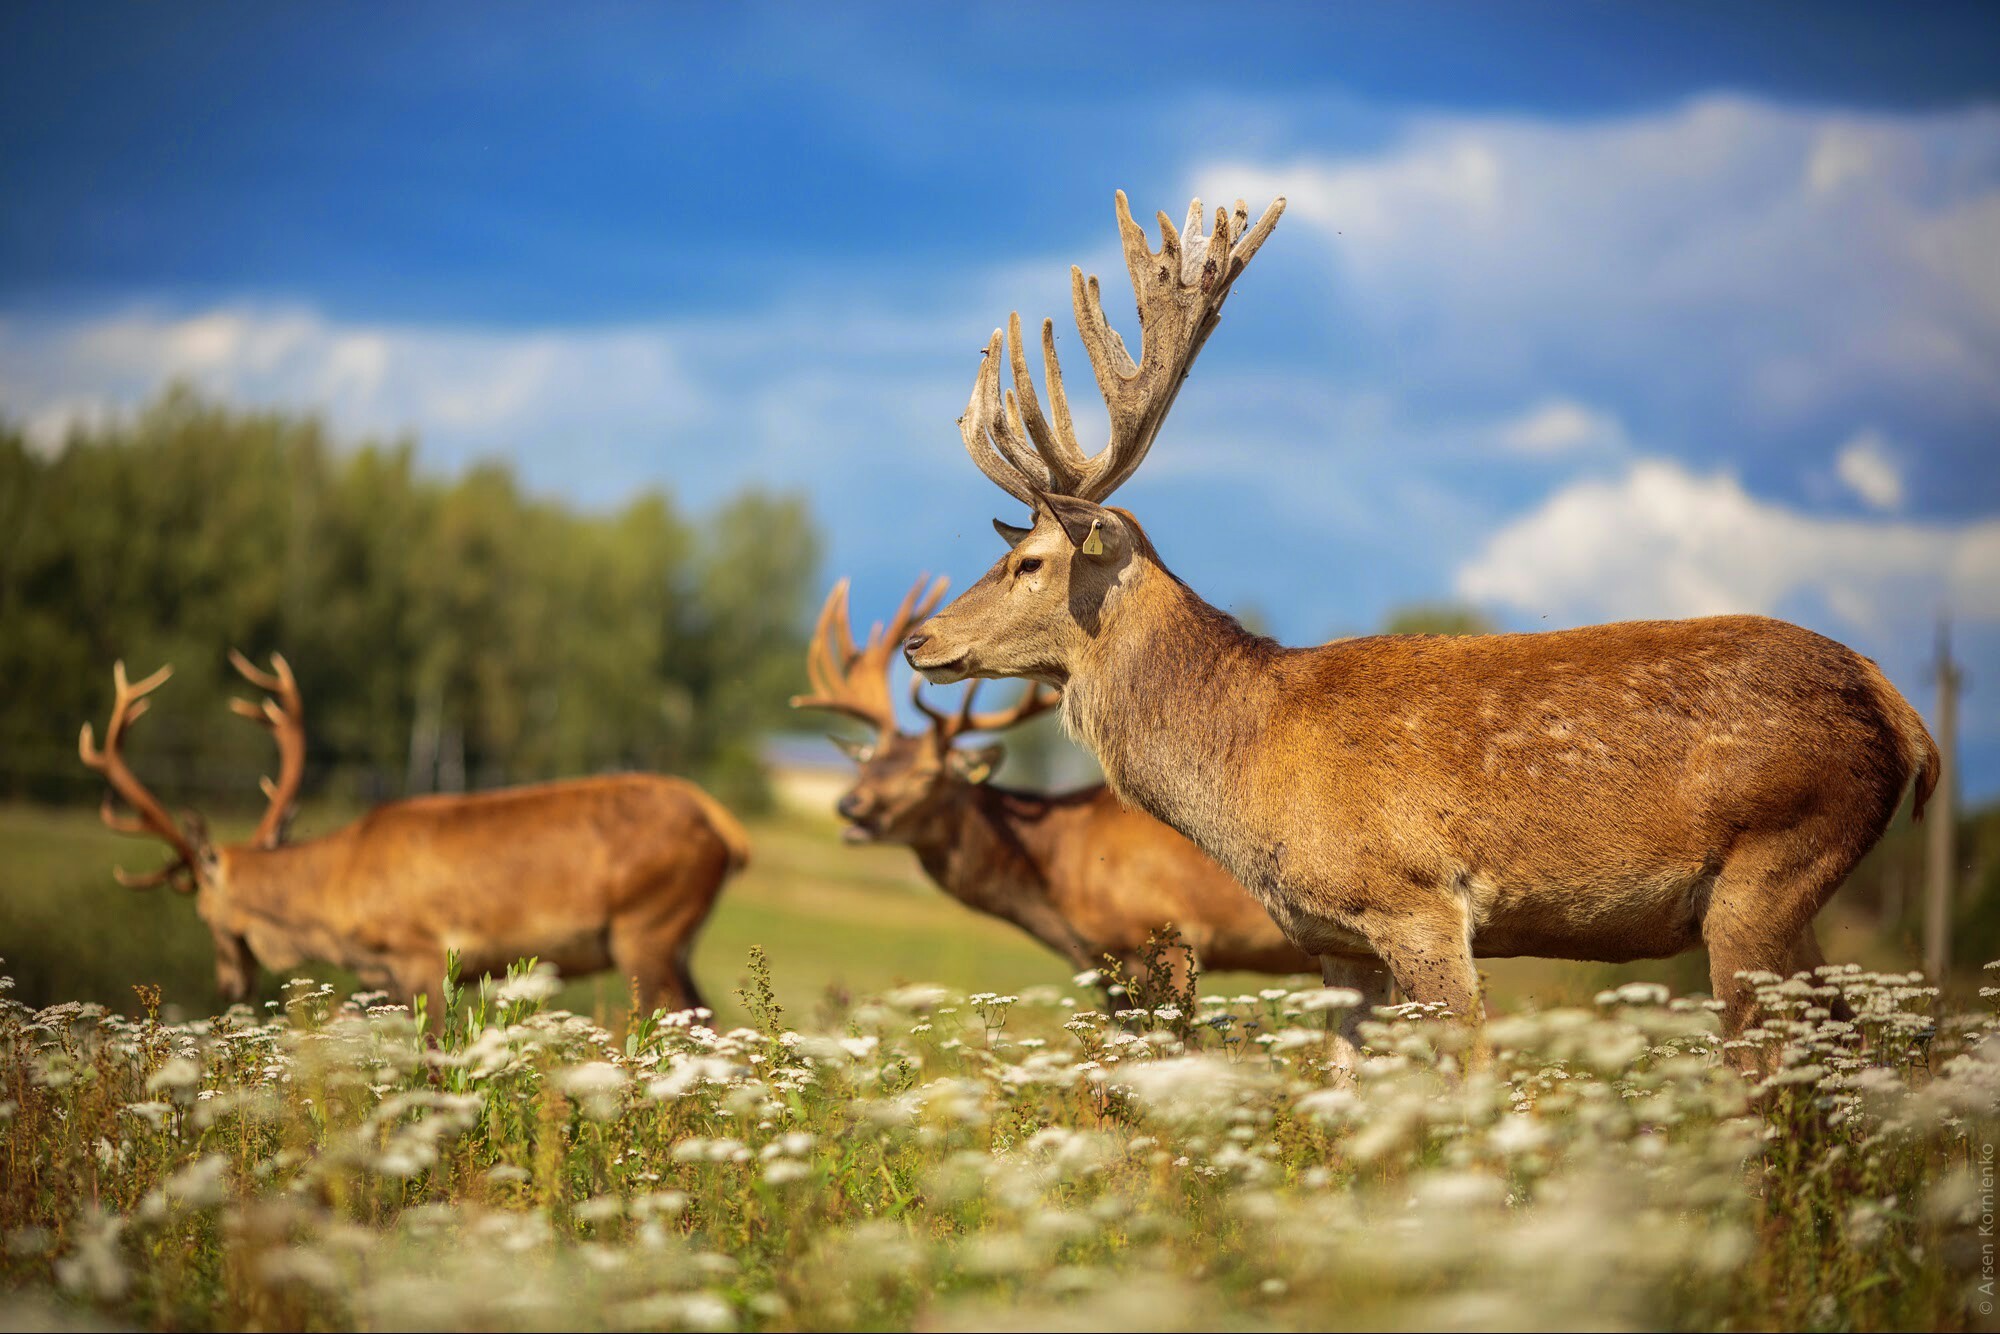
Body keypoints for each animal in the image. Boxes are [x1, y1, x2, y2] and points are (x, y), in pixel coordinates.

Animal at [76, 652, 752, 1016]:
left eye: (205, 915)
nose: (228, 985)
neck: (338, 895)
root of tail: (726, 828)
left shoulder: (424, 952)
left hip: (646, 928)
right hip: (673, 939)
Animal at [908, 193, 1936, 1048]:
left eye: (1029, 563)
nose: (921, 639)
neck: (1249, 760)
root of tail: (1901, 714)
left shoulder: (1416, 901)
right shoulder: (1333, 940)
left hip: (1775, 861)